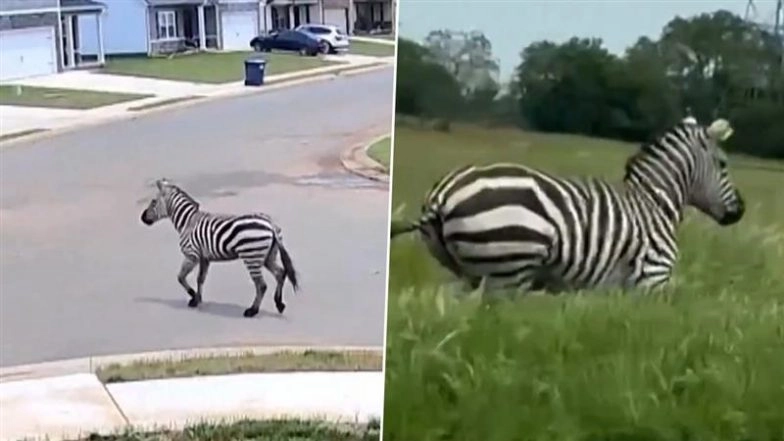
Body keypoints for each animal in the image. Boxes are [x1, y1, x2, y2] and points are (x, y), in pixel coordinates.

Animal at [140, 178, 299, 317]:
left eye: (153, 201)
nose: (142, 218)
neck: (187, 222)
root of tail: (270, 225)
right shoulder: (204, 258)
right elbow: (200, 279)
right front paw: (197, 299)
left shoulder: (191, 255)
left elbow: (180, 277)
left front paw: (192, 295)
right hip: (268, 256)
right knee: (280, 273)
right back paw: (279, 304)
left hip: (251, 257)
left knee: (261, 285)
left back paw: (252, 311)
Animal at [390, 117, 745, 295]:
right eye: (723, 164)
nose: (740, 211)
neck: (654, 200)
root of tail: (443, 196)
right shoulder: (652, 279)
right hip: (507, 272)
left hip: (468, 273)